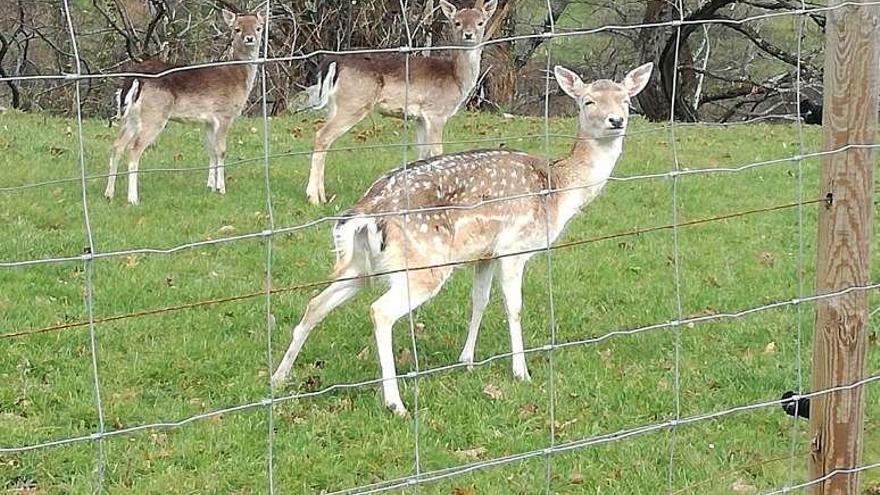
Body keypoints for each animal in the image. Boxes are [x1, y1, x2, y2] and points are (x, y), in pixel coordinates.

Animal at [105, 9, 262, 205]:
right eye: (236, 29)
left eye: (259, 27)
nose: (250, 38)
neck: (238, 77)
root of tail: (135, 78)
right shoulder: (224, 114)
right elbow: (221, 151)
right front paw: (221, 189)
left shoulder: (208, 121)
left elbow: (211, 150)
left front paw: (210, 186)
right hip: (154, 113)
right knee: (133, 149)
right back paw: (133, 199)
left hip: (131, 116)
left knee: (117, 145)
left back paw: (109, 194)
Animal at [272, 63, 656, 418]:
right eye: (588, 101)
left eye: (626, 99)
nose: (616, 120)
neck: (559, 191)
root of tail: (366, 212)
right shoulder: (515, 247)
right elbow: (513, 307)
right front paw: (521, 372)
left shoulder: (484, 254)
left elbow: (479, 302)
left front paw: (467, 359)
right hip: (423, 263)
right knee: (379, 311)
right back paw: (395, 403)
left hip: (362, 264)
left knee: (316, 302)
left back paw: (279, 377)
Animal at [300, 0, 496, 205]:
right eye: (457, 22)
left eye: (481, 22)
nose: (469, 34)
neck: (456, 79)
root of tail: (334, 62)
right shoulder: (436, 112)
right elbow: (437, 152)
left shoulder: (420, 118)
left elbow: (422, 153)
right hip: (354, 103)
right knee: (322, 136)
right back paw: (314, 197)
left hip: (335, 105)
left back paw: (322, 195)